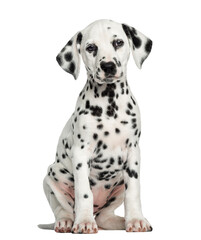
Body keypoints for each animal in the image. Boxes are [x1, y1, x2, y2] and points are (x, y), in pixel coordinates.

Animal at [38, 19, 152, 233]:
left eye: (118, 42)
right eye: (91, 48)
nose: (108, 66)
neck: (109, 104)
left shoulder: (133, 152)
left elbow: (133, 191)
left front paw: (136, 220)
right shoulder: (81, 153)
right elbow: (84, 193)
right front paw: (83, 222)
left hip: (118, 183)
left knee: (105, 217)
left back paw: (120, 221)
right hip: (52, 177)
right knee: (62, 209)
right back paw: (66, 222)